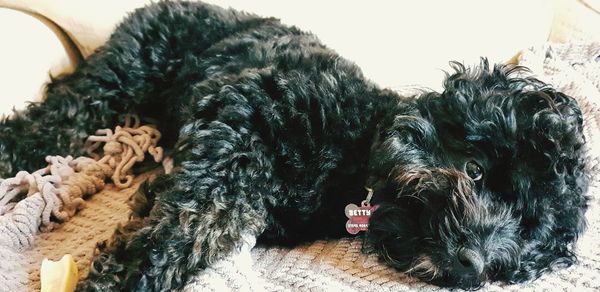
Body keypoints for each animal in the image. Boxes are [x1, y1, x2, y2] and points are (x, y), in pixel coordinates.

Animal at [0, 1, 588, 290]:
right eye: (476, 170)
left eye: (527, 229)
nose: (474, 263)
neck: (352, 157)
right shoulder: (241, 114)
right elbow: (198, 215)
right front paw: (125, 274)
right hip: (123, 73)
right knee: (57, 113)